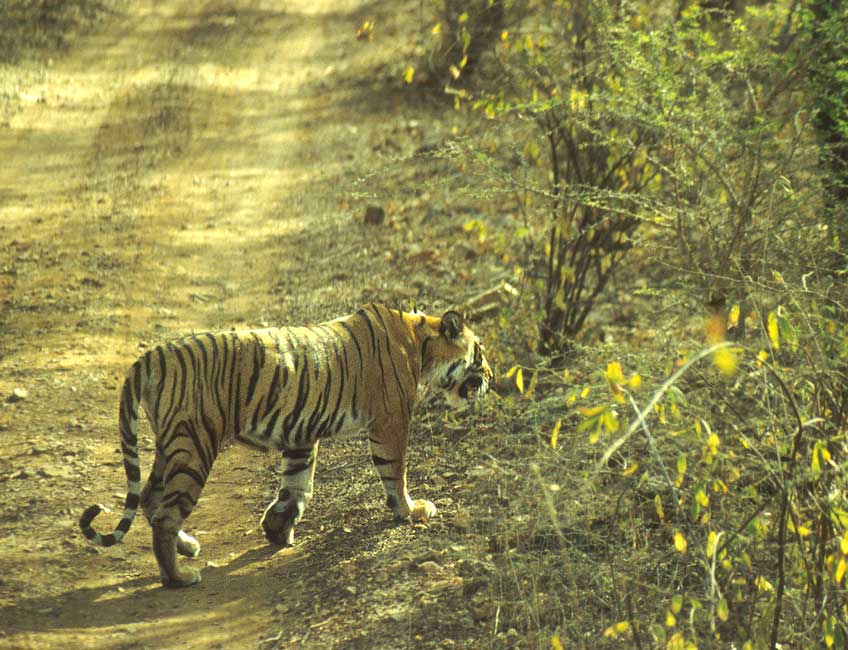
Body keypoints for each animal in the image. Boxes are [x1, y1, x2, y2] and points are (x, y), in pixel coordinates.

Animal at [81, 304, 490, 588]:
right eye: (480, 353)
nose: (491, 375)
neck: (420, 342)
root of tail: (149, 357)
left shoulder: (301, 432)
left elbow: (297, 484)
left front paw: (277, 529)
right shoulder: (391, 421)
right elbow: (395, 471)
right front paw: (410, 510)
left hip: (171, 446)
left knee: (151, 499)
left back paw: (188, 548)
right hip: (193, 444)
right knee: (166, 512)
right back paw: (178, 577)